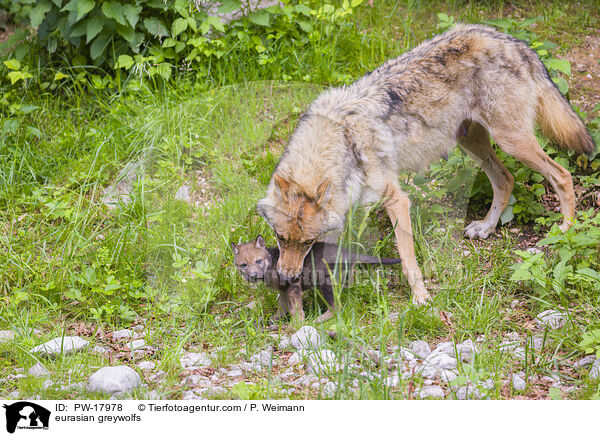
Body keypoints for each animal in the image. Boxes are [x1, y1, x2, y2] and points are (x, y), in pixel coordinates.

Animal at [256, 23, 596, 304]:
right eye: (281, 238)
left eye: (305, 241)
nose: (287, 276)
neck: (342, 138)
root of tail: (511, 40)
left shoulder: (396, 199)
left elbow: (407, 258)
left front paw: (420, 297)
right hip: (472, 143)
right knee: (506, 179)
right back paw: (486, 228)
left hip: (512, 142)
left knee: (562, 175)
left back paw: (564, 232)